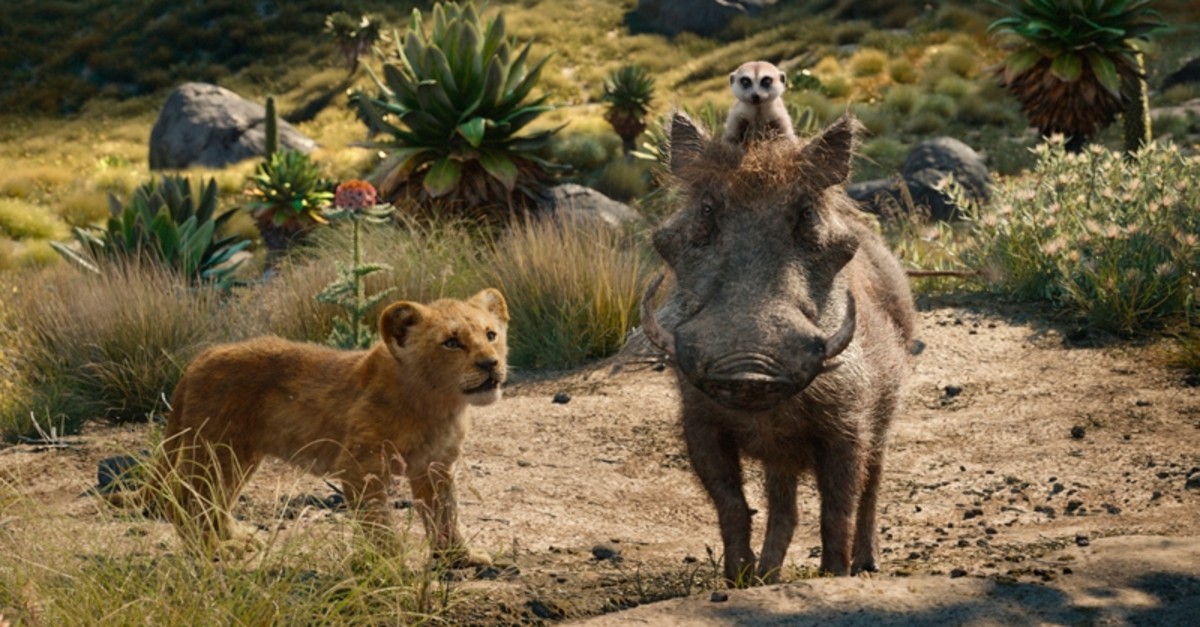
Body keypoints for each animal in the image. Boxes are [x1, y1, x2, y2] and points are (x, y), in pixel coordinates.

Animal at [120, 289, 508, 567]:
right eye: (452, 342)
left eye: (491, 335)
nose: (491, 364)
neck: (438, 405)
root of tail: (199, 359)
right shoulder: (361, 468)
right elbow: (379, 524)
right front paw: (389, 567)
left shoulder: (436, 467)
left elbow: (445, 515)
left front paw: (458, 558)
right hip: (213, 450)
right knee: (185, 500)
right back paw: (215, 550)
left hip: (237, 455)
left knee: (216, 500)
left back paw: (236, 538)